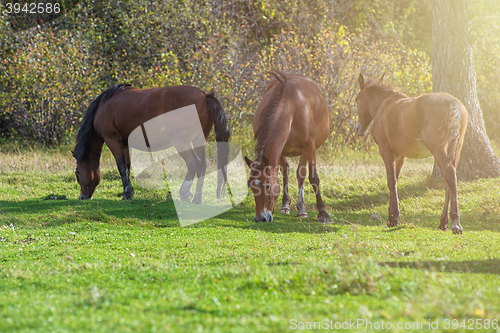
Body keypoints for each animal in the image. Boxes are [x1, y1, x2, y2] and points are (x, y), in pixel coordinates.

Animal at [73, 84, 230, 201]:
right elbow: (127, 167)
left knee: (193, 163)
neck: (103, 105)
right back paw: (197, 198)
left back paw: (184, 192)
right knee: (202, 166)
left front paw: (127, 193)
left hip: (182, 142)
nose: (82, 197)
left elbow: (122, 167)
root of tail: (205, 96)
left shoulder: (113, 140)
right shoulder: (125, 143)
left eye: (78, 173)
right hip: (200, 139)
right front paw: (129, 191)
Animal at [246, 71, 332, 222]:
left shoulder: (310, 148)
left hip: (305, 151)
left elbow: (313, 177)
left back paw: (302, 208)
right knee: (286, 171)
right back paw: (286, 205)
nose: (260, 218)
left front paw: (322, 213)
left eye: (267, 186)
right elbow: (284, 172)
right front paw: (286, 205)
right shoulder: (281, 149)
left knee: (301, 174)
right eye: (250, 186)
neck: (291, 108)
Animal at [354, 73, 466, 233]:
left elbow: (391, 181)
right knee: (449, 181)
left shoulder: (386, 151)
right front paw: (392, 216)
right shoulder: (400, 155)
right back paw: (443, 221)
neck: (385, 105)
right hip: (455, 150)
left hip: (438, 150)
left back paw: (455, 222)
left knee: (450, 175)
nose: (358, 128)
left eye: (357, 99)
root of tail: (454, 104)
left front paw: (393, 218)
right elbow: (395, 179)